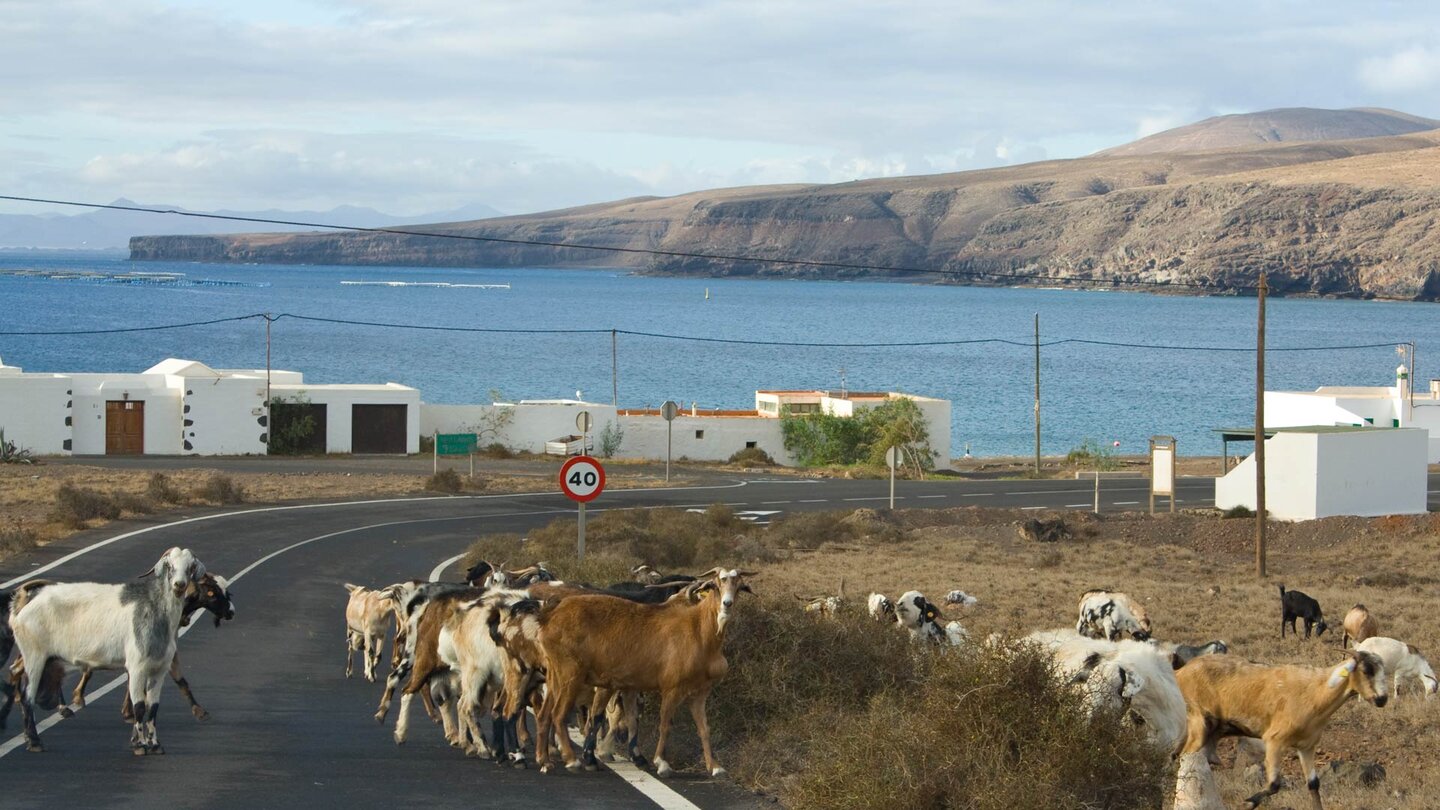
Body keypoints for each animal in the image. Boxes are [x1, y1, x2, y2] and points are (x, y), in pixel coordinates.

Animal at [8, 544, 207, 755]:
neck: (155, 610)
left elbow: (153, 707)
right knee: (28, 697)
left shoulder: (159, 669)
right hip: (34, 656)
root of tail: (25, 603)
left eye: (191, 567)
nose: (179, 585)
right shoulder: (137, 667)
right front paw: (139, 745)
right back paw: (35, 741)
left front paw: (154, 744)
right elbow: (139, 707)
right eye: (170, 565)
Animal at [527, 564, 754, 772]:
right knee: (558, 714)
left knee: (544, 714)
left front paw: (714, 766)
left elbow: (703, 728)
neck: (698, 630)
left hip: (555, 675)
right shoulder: (670, 688)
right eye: (716, 584)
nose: (727, 604)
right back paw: (571, 759)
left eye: (740, 587)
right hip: (570, 676)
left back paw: (544, 759)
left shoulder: (699, 693)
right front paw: (661, 762)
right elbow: (664, 723)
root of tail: (549, 616)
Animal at [1175, 648, 1388, 807]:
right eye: (1367, 670)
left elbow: (1313, 785)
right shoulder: (1274, 740)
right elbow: (1274, 785)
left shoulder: (1306, 746)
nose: (1383, 699)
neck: (1315, 691)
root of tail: (1181, 673)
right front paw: (1248, 803)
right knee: (1184, 761)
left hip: (1211, 732)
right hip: (1198, 723)